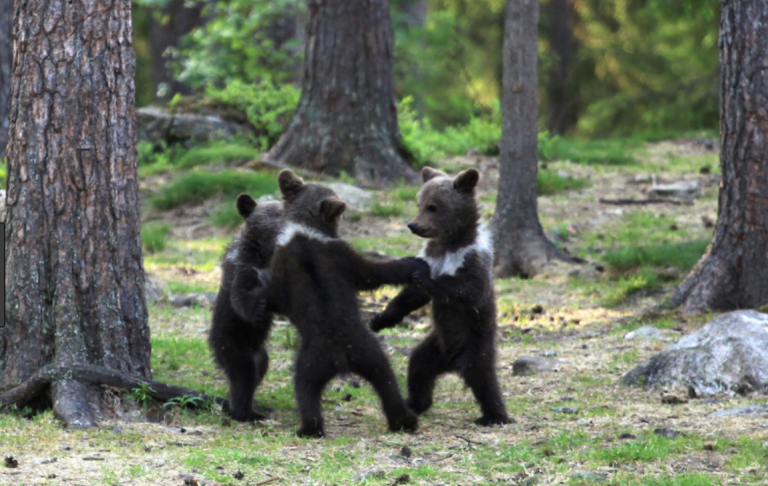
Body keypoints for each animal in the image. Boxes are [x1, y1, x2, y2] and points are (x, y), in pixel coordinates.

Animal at [208, 193, 283, 422]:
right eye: (276, 213)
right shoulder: (243, 272)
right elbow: (241, 299)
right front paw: (258, 312)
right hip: (233, 343)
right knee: (244, 375)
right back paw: (248, 413)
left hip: (260, 352)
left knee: (258, 370)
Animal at [231, 169, 428, 438]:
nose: (344, 211)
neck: (305, 229)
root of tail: (340, 357)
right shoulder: (331, 258)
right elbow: (372, 273)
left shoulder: (318, 260)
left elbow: (373, 272)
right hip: (352, 356)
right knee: (379, 381)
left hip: (343, 356)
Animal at [370, 167, 511, 426]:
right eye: (419, 202)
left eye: (433, 206)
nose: (413, 224)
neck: (450, 242)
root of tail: (452, 363)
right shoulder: (433, 256)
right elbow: (411, 297)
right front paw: (379, 319)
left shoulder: (472, 259)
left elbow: (465, 289)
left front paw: (424, 278)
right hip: (435, 346)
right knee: (418, 367)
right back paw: (416, 402)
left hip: (474, 342)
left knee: (483, 376)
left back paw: (494, 415)